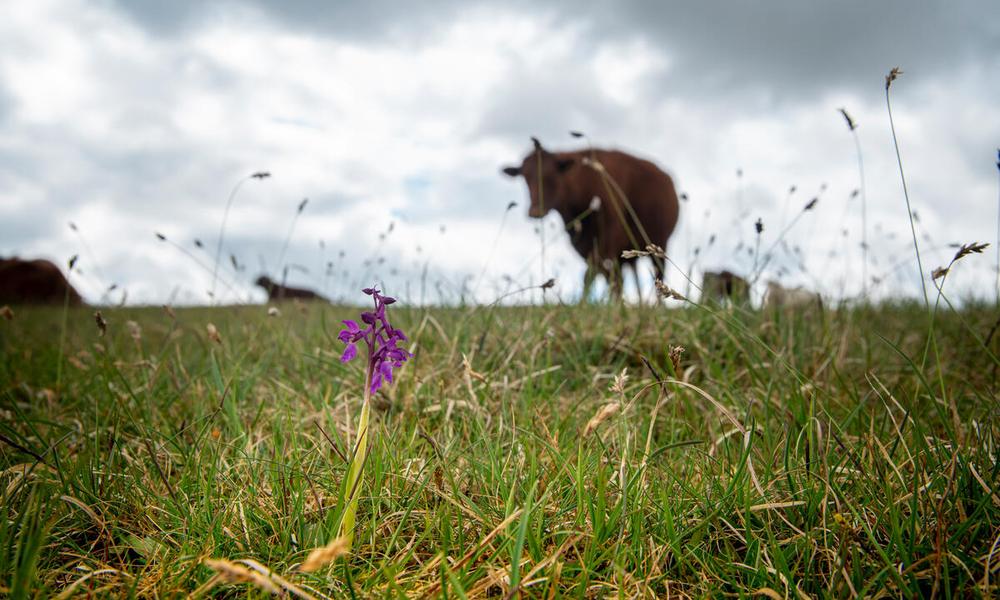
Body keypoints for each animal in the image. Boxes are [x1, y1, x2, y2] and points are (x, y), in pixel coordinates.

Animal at [500, 137, 680, 298]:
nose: (535, 211)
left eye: (551, 176)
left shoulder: (610, 237)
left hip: (659, 241)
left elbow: (594, 274)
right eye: (525, 178)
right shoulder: (585, 244)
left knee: (658, 274)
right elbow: (601, 275)